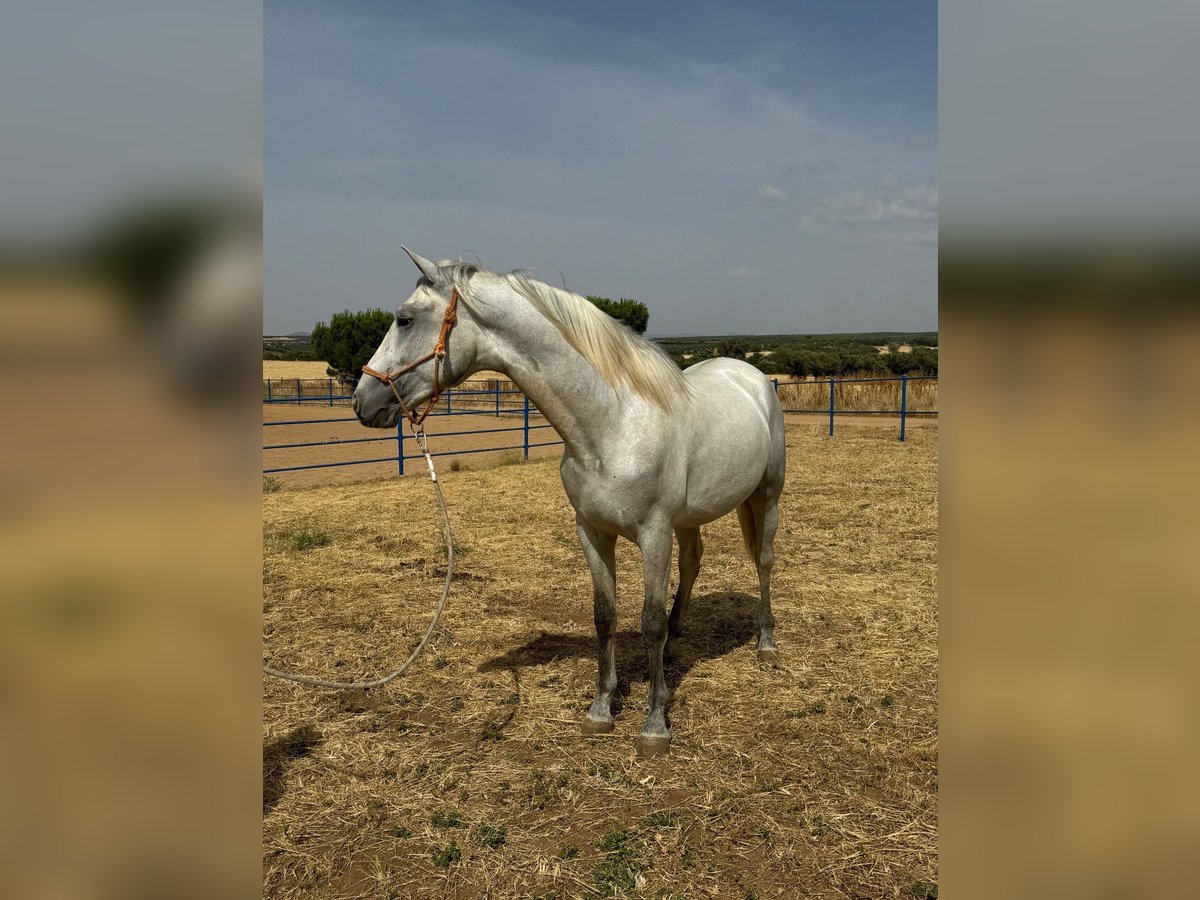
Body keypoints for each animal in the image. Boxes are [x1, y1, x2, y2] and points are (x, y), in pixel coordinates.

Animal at [352, 250, 787, 758]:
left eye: (404, 319)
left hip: (766, 496)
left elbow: (650, 621)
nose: (362, 401)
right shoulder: (592, 532)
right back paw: (682, 635)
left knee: (763, 561)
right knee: (694, 561)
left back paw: (766, 643)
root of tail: (751, 375)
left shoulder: (653, 535)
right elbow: (605, 616)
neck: (612, 424)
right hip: (690, 518)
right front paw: (601, 710)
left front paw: (655, 724)